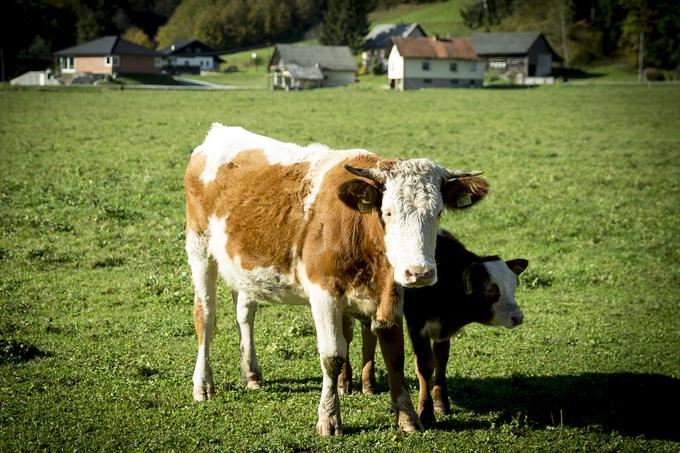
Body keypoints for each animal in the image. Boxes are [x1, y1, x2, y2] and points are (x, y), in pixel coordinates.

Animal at [183, 124, 486, 434]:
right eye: (388, 212)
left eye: (438, 212)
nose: (420, 272)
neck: (361, 233)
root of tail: (218, 135)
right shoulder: (324, 293)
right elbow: (332, 356)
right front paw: (329, 417)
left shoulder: (391, 293)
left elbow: (394, 353)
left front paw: (407, 417)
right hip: (199, 248)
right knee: (205, 315)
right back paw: (203, 383)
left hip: (241, 265)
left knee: (245, 314)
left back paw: (251, 373)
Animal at [338, 230, 528, 424]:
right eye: (490, 288)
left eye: (513, 285)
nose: (518, 317)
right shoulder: (417, 326)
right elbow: (425, 366)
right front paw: (426, 411)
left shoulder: (443, 331)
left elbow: (441, 361)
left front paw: (441, 402)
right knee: (345, 338)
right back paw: (344, 382)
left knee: (369, 336)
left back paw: (368, 383)